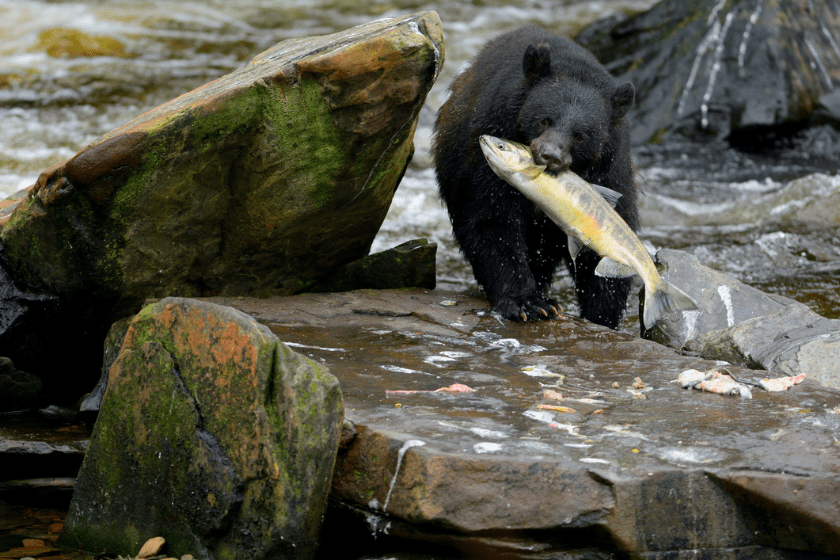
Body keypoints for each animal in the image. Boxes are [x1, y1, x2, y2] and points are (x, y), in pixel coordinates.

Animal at [434, 25, 636, 328]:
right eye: (544, 119)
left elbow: (605, 241)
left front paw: (601, 315)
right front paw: (529, 303)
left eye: (581, 135)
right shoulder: (488, 134)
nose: (550, 155)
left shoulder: (609, 170)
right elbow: (490, 216)